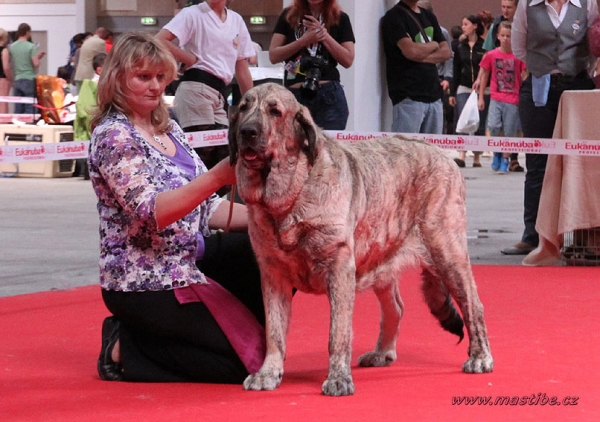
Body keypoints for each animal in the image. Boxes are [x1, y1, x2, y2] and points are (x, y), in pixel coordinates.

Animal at [229, 83, 492, 396]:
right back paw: (382, 353)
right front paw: (268, 372)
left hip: (447, 253)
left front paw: (338, 378)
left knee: (473, 305)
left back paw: (480, 357)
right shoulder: (272, 275)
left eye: (275, 112)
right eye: (243, 107)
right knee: (396, 307)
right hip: (382, 259)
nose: (247, 131)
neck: (288, 199)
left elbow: (338, 333)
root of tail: (445, 155)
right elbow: (274, 330)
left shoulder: (340, 268)